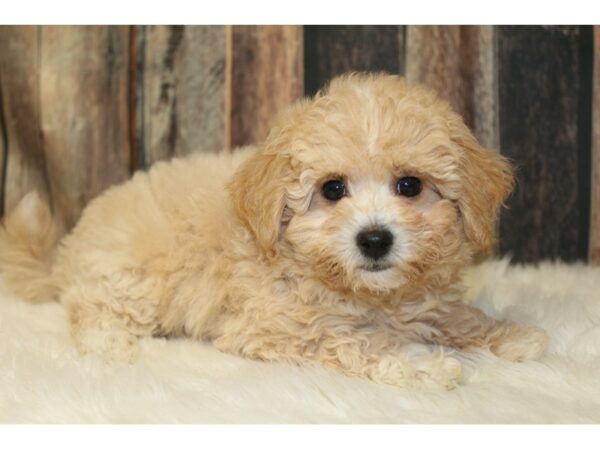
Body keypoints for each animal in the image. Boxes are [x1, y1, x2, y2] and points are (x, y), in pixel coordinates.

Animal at [0, 74, 548, 390]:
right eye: (332, 189)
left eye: (409, 185)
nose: (374, 239)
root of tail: (67, 250)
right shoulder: (278, 326)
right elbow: (361, 342)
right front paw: (423, 365)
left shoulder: (426, 299)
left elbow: (456, 316)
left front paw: (511, 335)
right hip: (129, 281)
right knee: (89, 312)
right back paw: (111, 344)